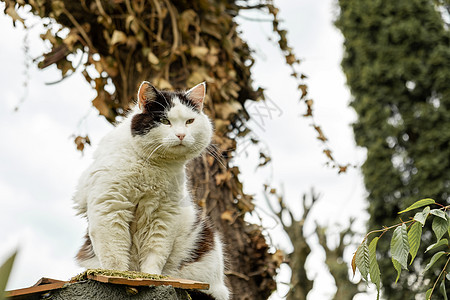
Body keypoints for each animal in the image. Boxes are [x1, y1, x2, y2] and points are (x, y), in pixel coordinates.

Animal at [74, 81, 230, 298]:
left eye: (190, 121)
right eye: (164, 121)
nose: (181, 135)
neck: (154, 166)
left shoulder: (163, 215)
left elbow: (155, 254)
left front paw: (151, 279)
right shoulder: (110, 206)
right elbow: (114, 255)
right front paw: (119, 276)